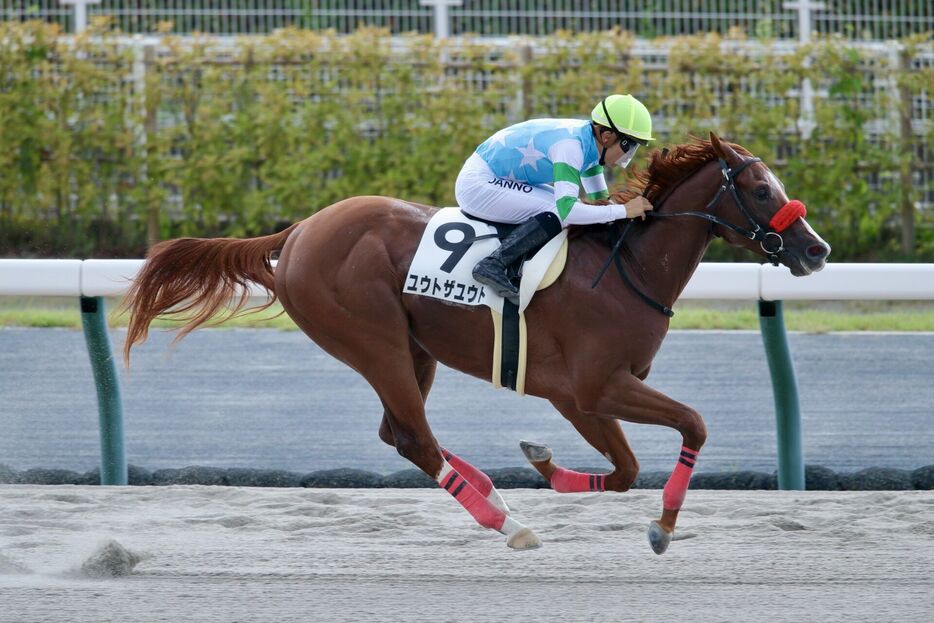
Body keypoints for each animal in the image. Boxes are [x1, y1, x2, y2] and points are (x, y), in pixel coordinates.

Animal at [120, 134, 828, 552]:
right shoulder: (595, 386)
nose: (816, 250)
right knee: (413, 437)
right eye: (760, 189)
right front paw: (663, 526)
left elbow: (626, 471)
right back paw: (506, 523)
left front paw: (544, 462)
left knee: (398, 433)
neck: (625, 268)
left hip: (415, 349)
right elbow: (694, 425)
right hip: (371, 339)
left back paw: (488, 488)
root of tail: (296, 232)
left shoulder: (584, 397)